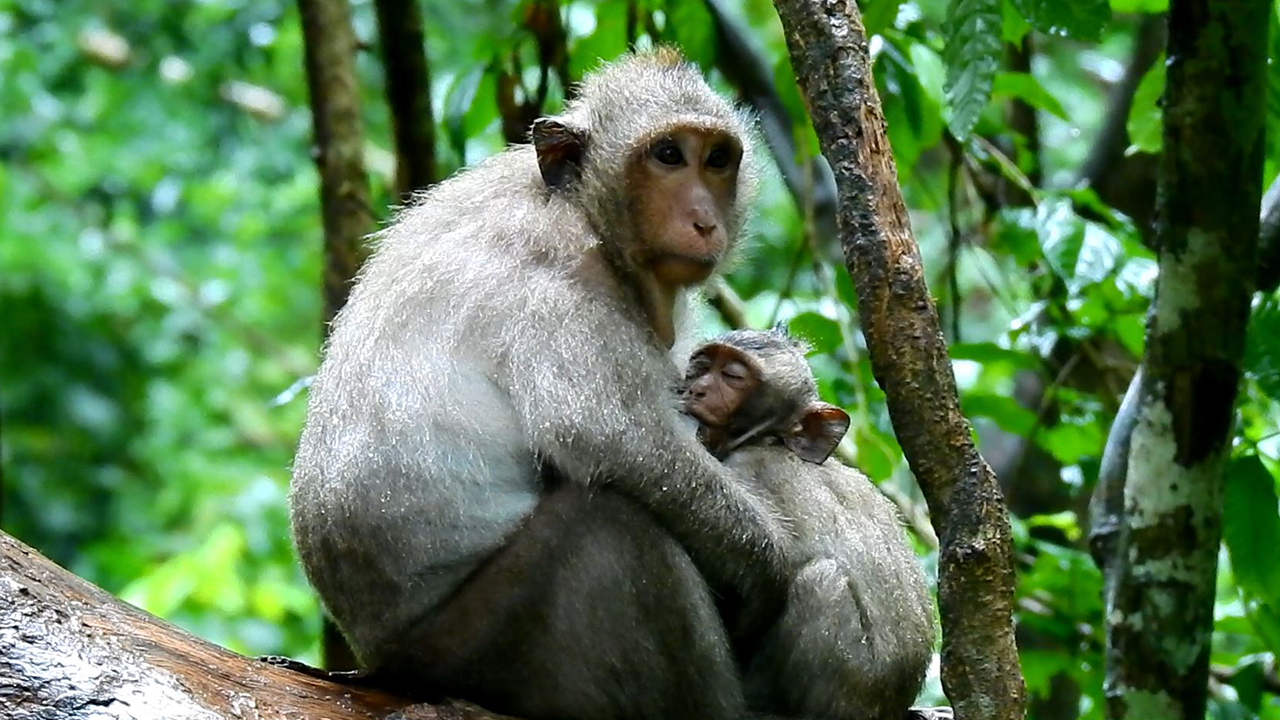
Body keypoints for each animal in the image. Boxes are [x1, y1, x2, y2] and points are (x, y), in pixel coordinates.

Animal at [290, 50, 793, 717]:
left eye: (716, 159)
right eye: (667, 155)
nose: (705, 221)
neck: (584, 212)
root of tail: (377, 663)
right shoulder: (559, 281)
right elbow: (609, 439)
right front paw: (767, 572)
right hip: (486, 648)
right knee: (610, 527)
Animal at [686, 327, 936, 717]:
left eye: (732, 376)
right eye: (700, 367)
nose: (696, 390)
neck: (771, 441)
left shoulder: (749, 468)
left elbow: (763, 579)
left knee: (822, 580)